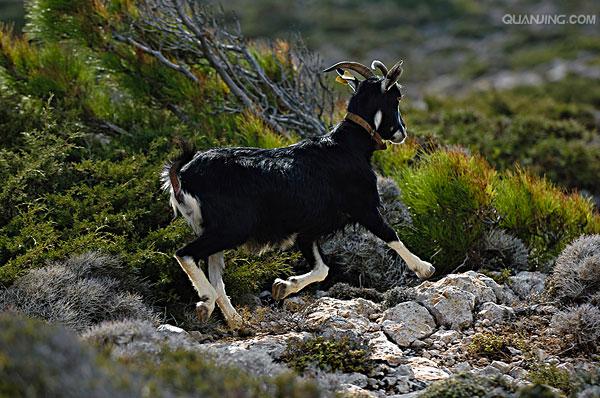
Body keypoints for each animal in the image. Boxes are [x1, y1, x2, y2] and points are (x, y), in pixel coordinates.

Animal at [163, 58, 436, 326]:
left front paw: (283, 287)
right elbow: (390, 234)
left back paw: (236, 321)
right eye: (396, 97)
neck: (347, 146)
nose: (403, 132)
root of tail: (184, 174)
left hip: (213, 227)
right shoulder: (363, 206)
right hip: (233, 227)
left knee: (215, 273)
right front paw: (424, 268)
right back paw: (206, 303)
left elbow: (322, 269)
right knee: (185, 254)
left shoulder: (308, 229)